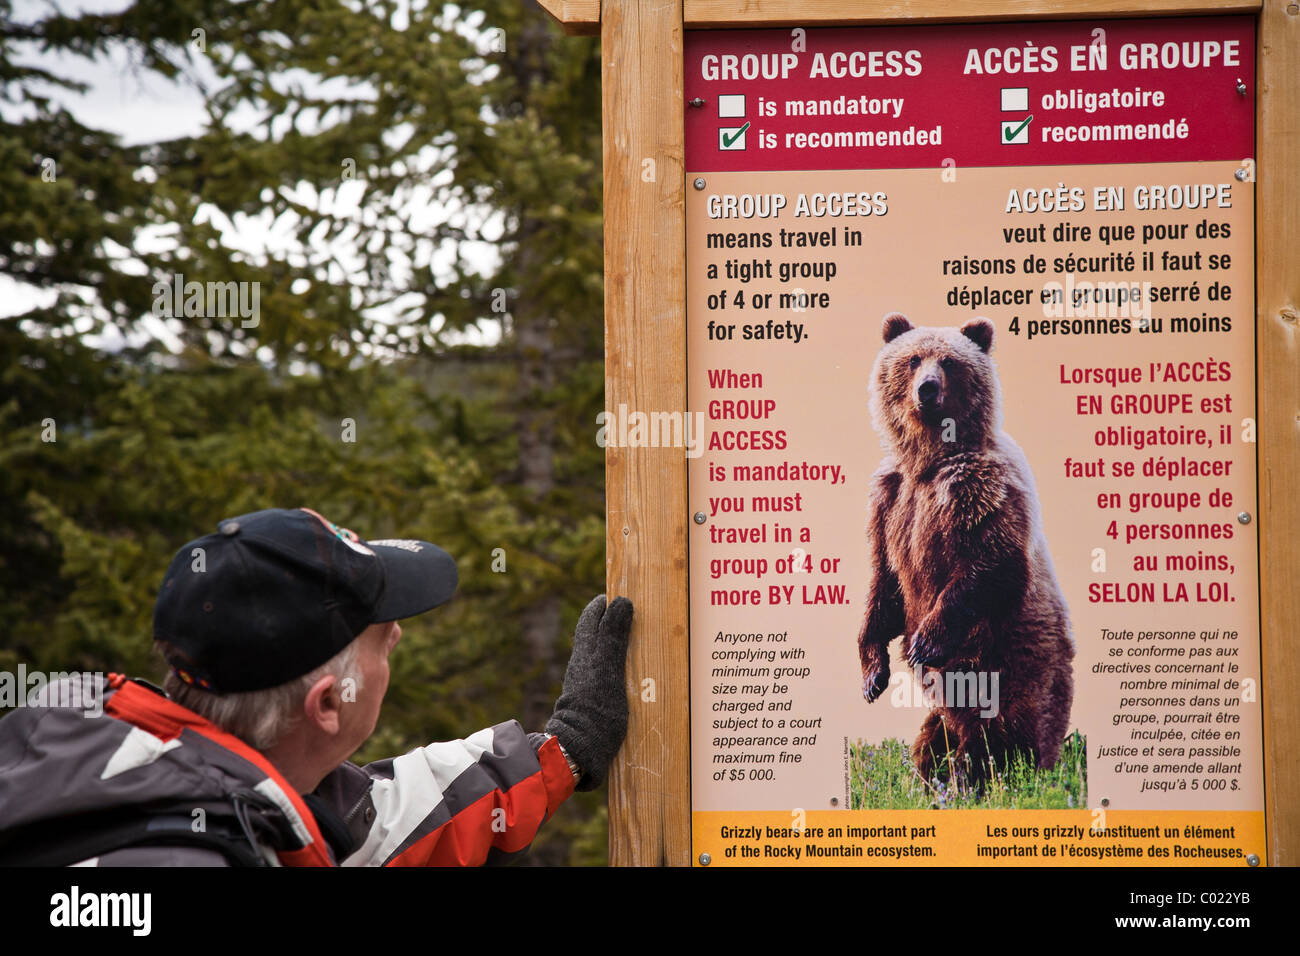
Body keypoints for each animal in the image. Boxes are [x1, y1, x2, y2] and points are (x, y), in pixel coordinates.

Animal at [852, 312, 1076, 785]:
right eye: (913, 358)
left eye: (950, 362)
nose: (927, 388)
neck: (928, 462)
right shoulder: (889, 503)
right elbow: (885, 584)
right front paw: (872, 676)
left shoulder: (980, 488)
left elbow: (993, 563)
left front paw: (924, 642)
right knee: (933, 736)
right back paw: (931, 773)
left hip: (1010, 671)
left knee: (997, 735)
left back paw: (973, 776)